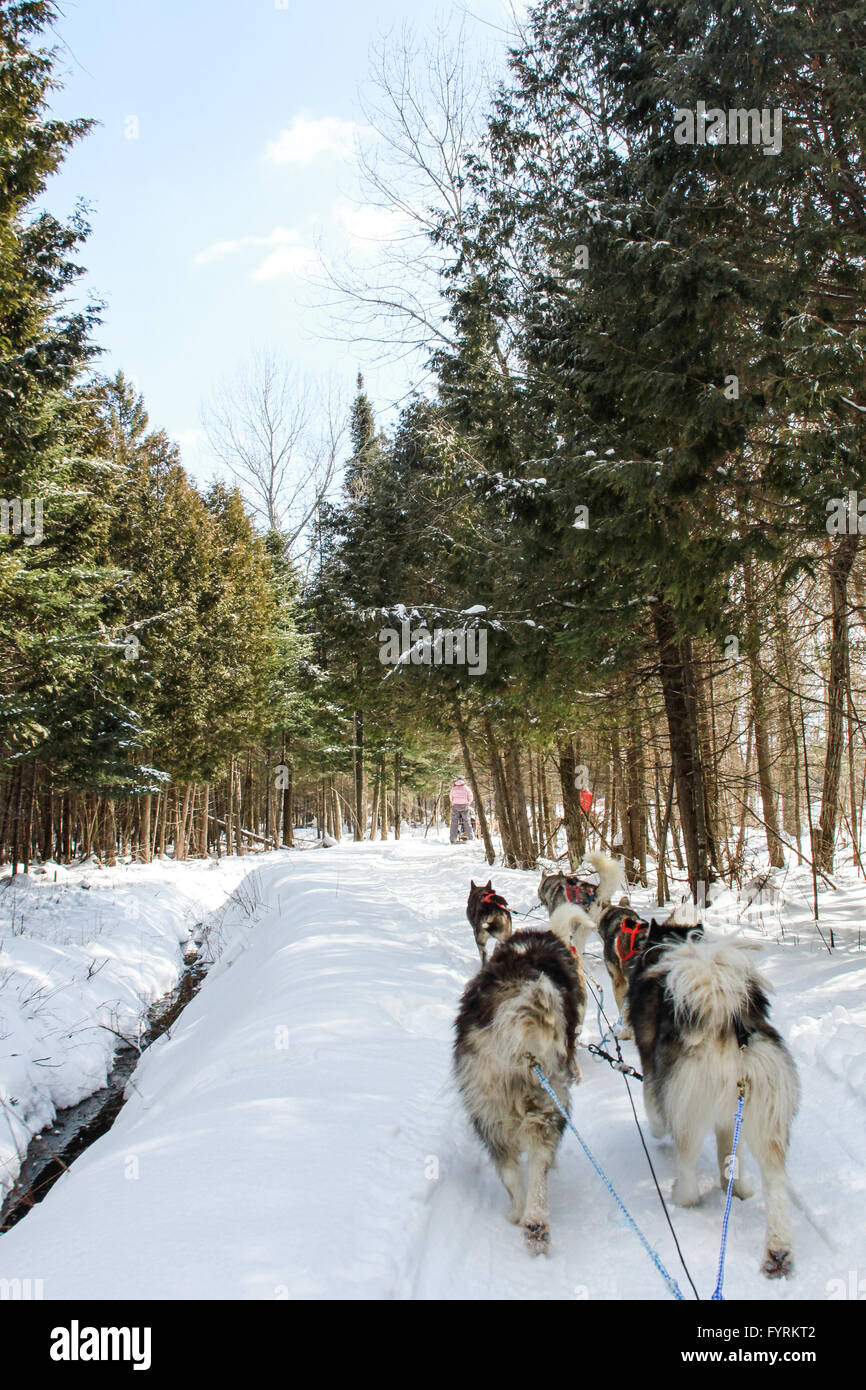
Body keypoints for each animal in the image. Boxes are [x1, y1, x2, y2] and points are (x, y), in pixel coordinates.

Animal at [625, 922, 800, 1278]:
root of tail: (726, 1023)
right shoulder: (728, 1117)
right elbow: (727, 1153)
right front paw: (734, 1184)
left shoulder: (653, 1075)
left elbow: (653, 1109)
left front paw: (656, 1131)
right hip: (764, 1116)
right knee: (774, 1180)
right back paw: (777, 1249)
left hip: (689, 1111)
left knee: (688, 1162)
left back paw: (681, 1196)